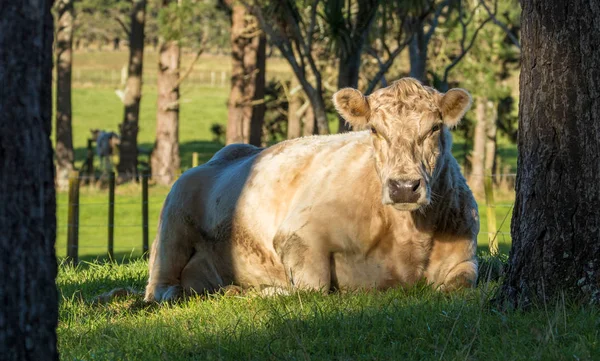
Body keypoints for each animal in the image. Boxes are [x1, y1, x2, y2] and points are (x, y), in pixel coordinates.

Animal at [144, 77, 478, 302]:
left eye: (434, 128)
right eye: (374, 129)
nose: (404, 187)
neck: (408, 236)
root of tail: (227, 153)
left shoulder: (465, 254)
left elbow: (464, 281)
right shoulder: (299, 234)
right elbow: (312, 288)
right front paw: (271, 291)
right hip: (172, 228)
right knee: (163, 288)